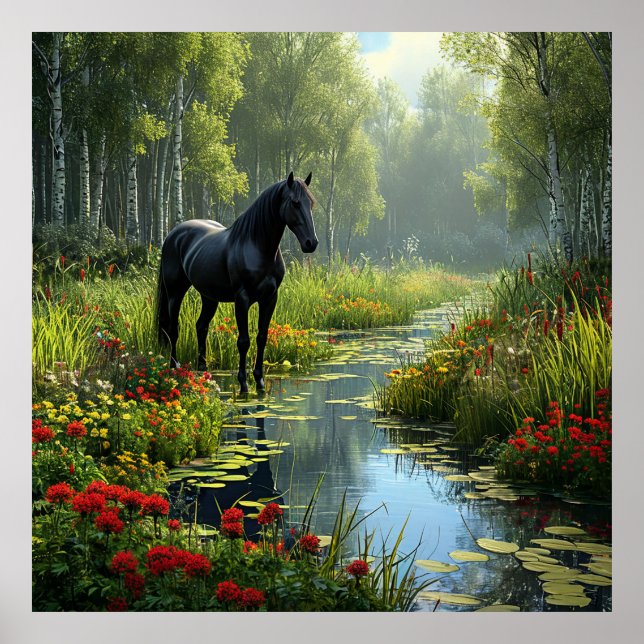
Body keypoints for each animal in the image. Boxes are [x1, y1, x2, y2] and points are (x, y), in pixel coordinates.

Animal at [156, 172, 318, 393]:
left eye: (311, 203)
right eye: (295, 203)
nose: (311, 243)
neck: (257, 247)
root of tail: (173, 235)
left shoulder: (270, 298)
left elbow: (262, 337)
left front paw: (259, 381)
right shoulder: (242, 299)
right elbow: (243, 341)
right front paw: (243, 383)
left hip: (209, 296)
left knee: (201, 327)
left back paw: (203, 370)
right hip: (175, 292)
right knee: (173, 329)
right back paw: (175, 368)